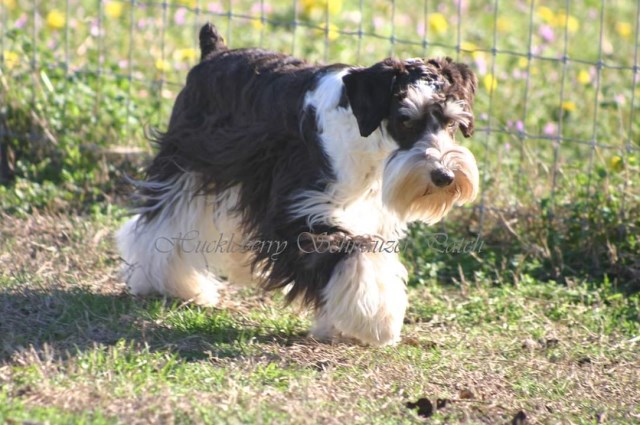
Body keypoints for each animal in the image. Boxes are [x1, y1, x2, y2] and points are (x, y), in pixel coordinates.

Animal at [116, 23, 480, 346]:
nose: (444, 176)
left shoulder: (367, 215)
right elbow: (355, 252)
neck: (366, 140)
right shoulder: (299, 212)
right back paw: (169, 284)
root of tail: (214, 51)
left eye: (452, 122)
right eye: (405, 120)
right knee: (160, 223)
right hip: (187, 163)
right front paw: (379, 321)